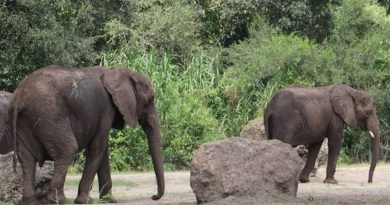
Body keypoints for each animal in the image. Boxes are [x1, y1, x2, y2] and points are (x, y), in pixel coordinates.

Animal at [9, 65, 165, 203]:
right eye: (150, 100)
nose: (153, 197)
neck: (116, 72)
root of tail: (19, 97)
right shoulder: (106, 108)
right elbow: (98, 147)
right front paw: (84, 201)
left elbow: (102, 151)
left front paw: (109, 200)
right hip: (49, 116)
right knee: (67, 150)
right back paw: (57, 200)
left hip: (25, 122)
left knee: (27, 160)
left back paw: (30, 201)